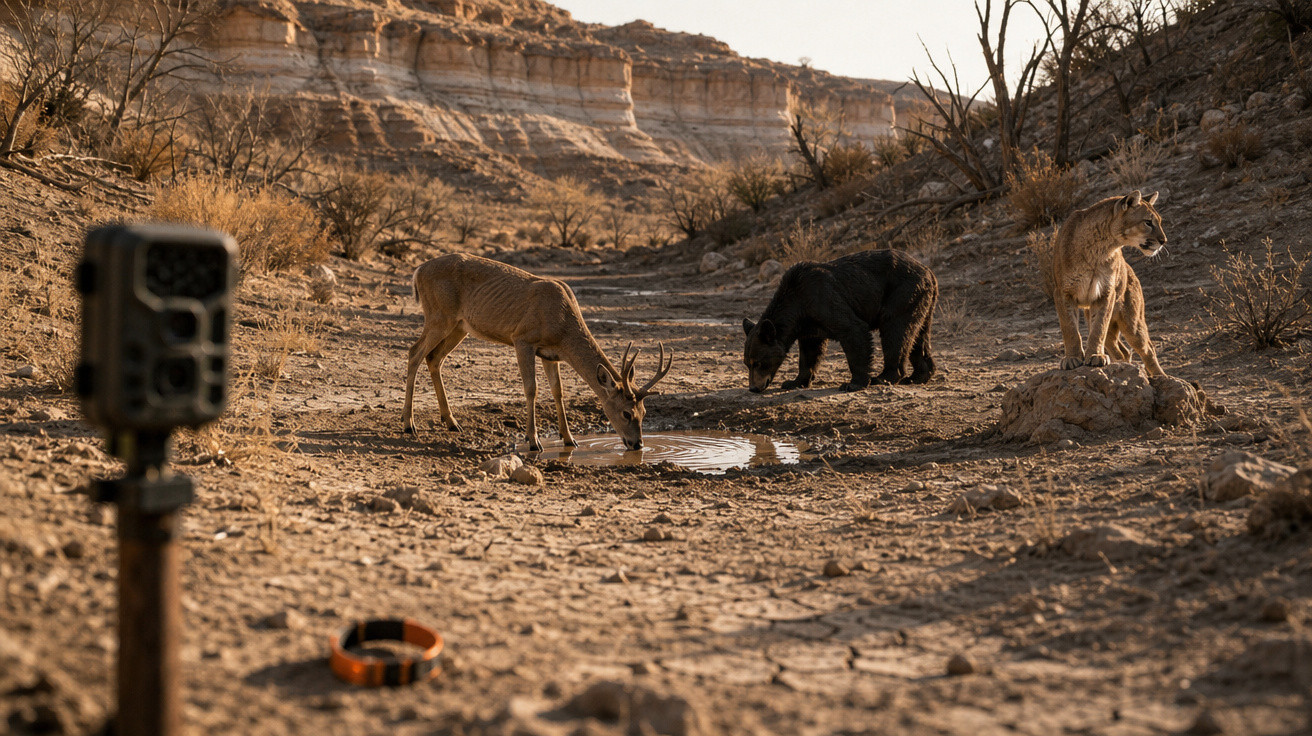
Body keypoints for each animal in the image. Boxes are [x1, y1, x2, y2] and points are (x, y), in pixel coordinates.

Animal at [401, 253, 674, 452]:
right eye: (626, 413)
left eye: (644, 412)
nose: (637, 444)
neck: (562, 323)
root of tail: (418, 271)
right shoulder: (522, 339)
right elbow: (531, 388)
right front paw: (534, 441)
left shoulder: (550, 354)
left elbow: (558, 391)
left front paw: (569, 439)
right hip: (439, 316)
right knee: (414, 352)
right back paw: (409, 424)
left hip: (459, 326)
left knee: (434, 358)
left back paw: (451, 422)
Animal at [742, 249, 938, 392]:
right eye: (747, 363)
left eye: (758, 362)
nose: (753, 388)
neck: (796, 306)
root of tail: (929, 271)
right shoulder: (809, 323)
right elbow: (810, 351)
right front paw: (794, 381)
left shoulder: (822, 298)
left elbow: (853, 330)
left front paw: (853, 383)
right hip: (921, 302)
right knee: (917, 336)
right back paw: (917, 376)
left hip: (901, 293)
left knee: (895, 330)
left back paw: (884, 377)